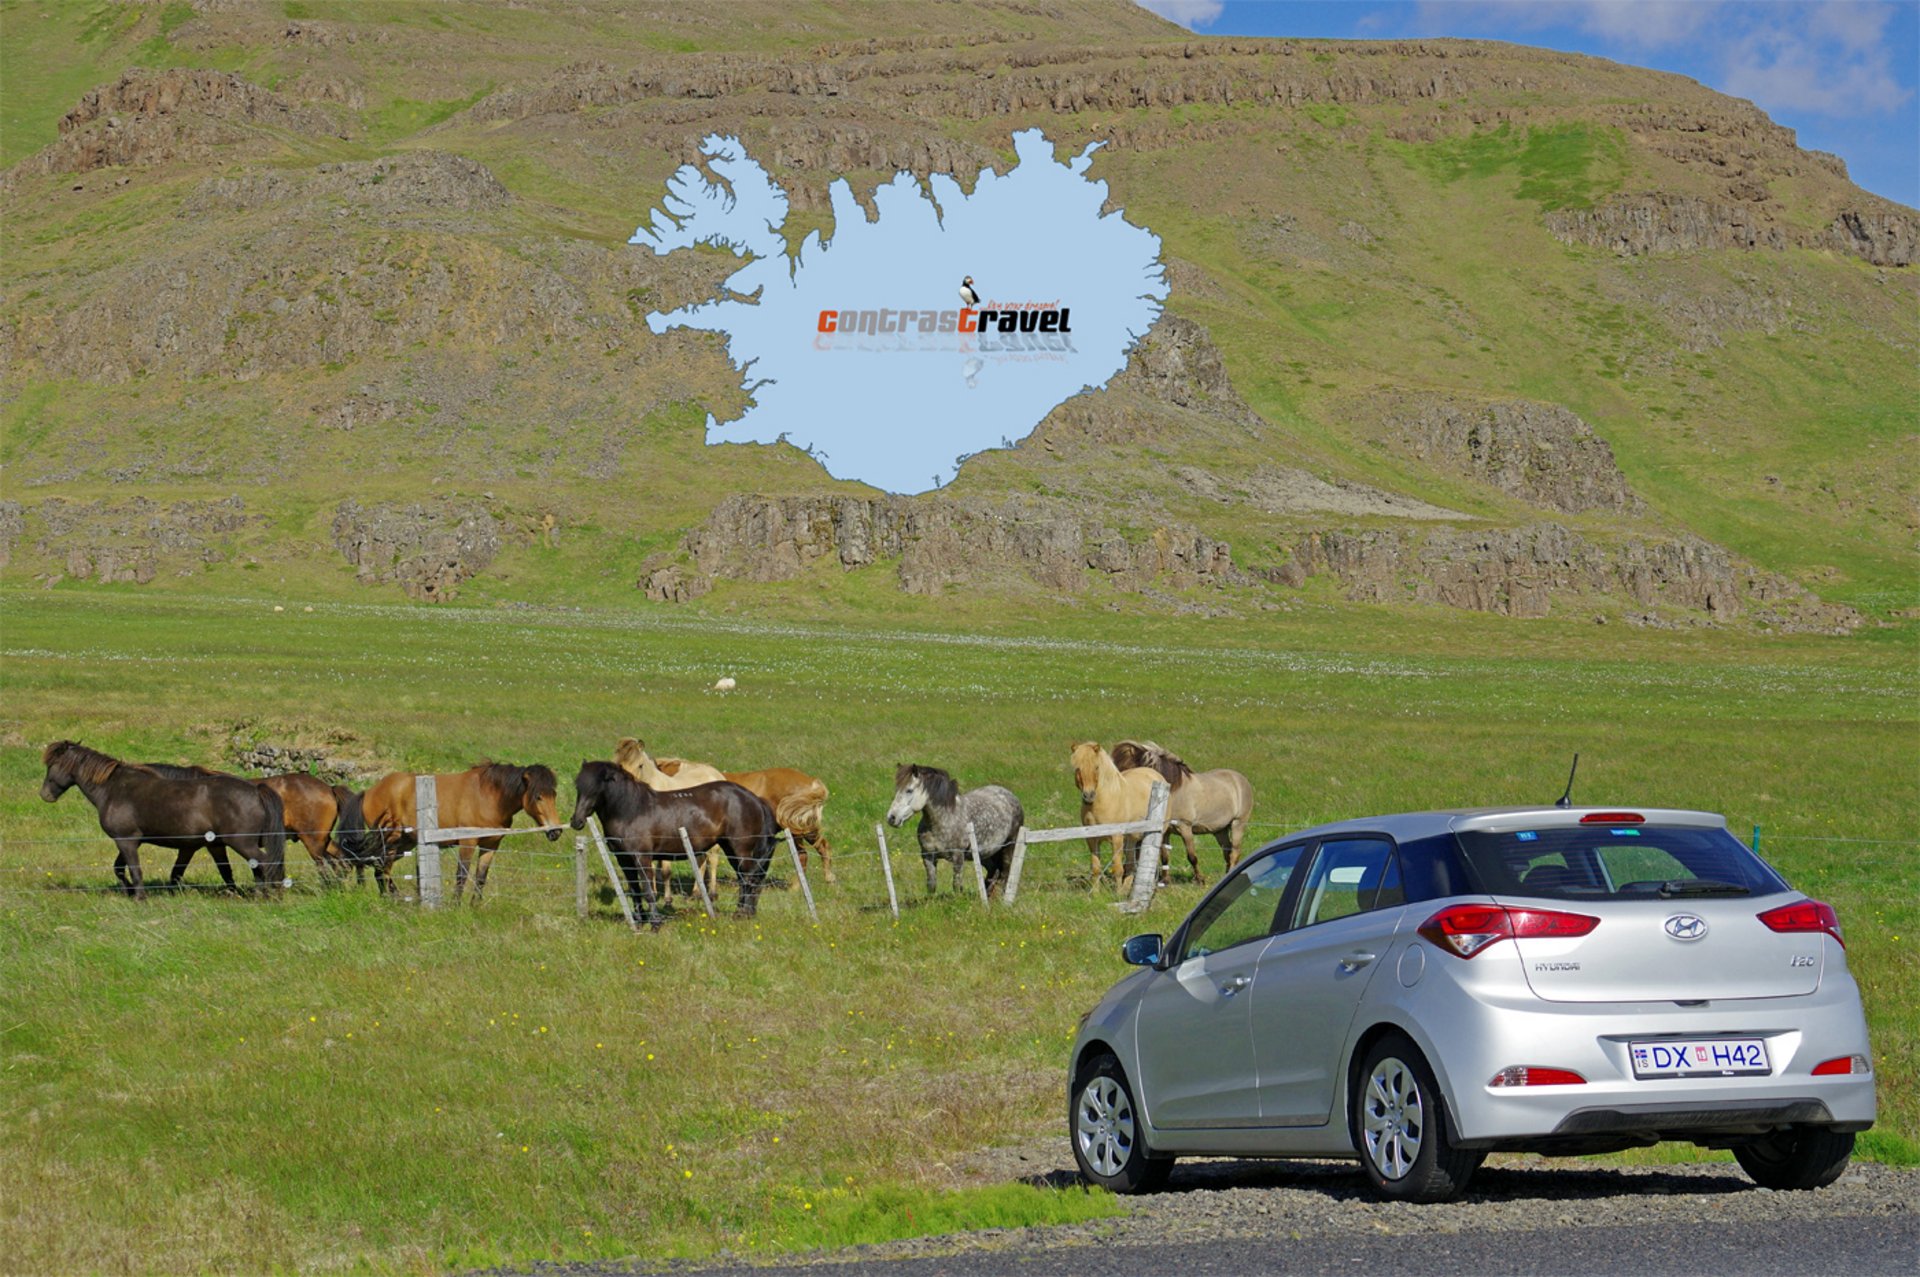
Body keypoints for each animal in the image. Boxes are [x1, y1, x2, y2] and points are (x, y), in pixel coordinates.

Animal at [38, 737, 288, 894]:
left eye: (53, 765)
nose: (45, 795)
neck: (114, 788)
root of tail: (256, 790)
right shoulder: (131, 841)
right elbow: (119, 868)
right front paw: (130, 891)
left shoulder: (126, 841)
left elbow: (134, 870)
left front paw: (139, 896)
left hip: (242, 843)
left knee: (265, 863)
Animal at [355, 760, 560, 902]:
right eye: (538, 796)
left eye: (554, 794)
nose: (556, 831)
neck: (488, 797)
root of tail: (370, 791)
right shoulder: (467, 842)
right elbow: (462, 875)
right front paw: (456, 905)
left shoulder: (491, 845)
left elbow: (481, 877)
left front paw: (475, 905)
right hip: (391, 839)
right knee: (381, 868)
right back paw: (395, 898)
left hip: (405, 843)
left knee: (381, 869)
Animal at [564, 756, 775, 925]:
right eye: (578, 786)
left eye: (596, 788)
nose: (576, 821)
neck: (632, 811)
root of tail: (754, 799)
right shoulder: (624, 860)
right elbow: (635, 890)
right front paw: (639, 922)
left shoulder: (642, 858)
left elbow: (648, 891)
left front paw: (655, 924)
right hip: (730, 849)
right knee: (745, 879)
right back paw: (744, 913)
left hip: (740, 849)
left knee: (749, 880)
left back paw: (743, 914)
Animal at [1067, 741, 1167, 891]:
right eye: (1077, 768)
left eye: (1096, 767)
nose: (1088, 796)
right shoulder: (1092, 839)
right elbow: (1096, 868)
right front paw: (1096, 893)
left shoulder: (1117, 837)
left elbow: (1118, 868)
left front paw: (1117, 893)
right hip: (1132, 838)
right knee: (1131, 864)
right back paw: (1127, 888)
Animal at [1113, 741, 1259, 883]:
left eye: (1127, 768)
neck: (1172, 793)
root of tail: (1240, 779)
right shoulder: (1165, 831)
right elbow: (1165, 856)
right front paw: (1165, 880)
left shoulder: (1185, 827)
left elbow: (1192, 856)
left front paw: (1200, 879)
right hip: (1220, 830)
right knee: (1227, 851)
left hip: (1238, 824)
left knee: (1234, 852)